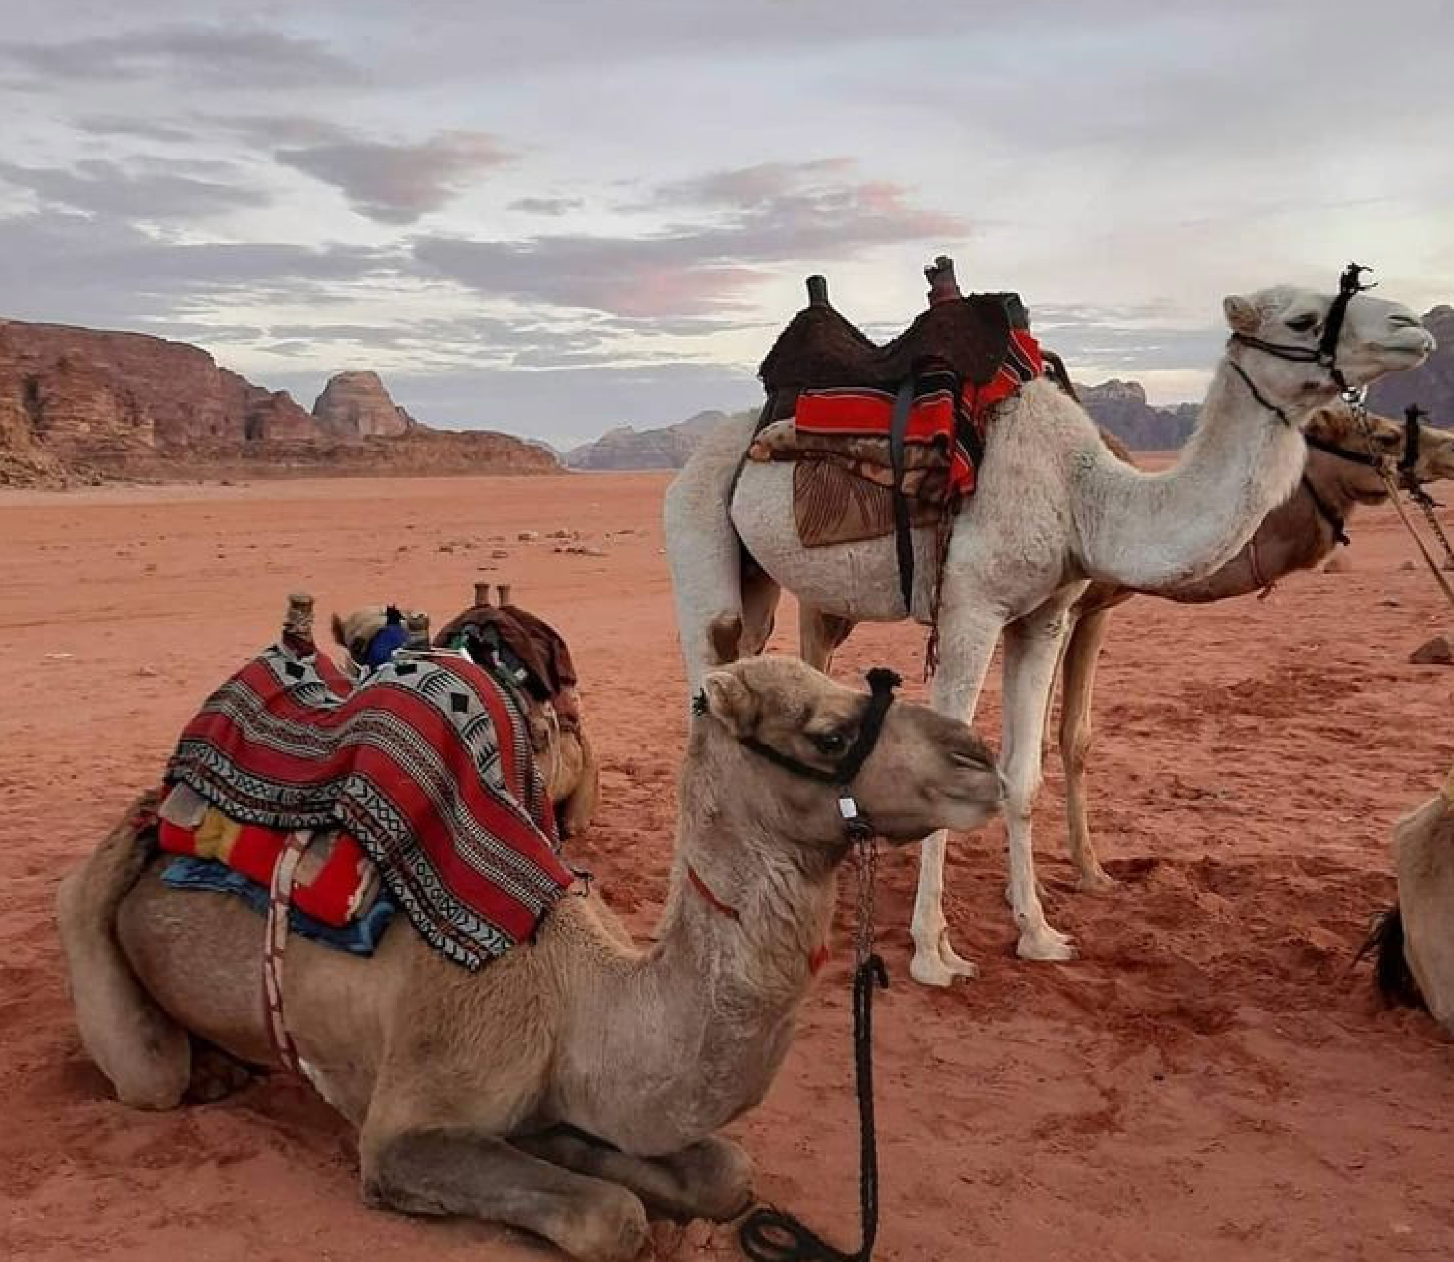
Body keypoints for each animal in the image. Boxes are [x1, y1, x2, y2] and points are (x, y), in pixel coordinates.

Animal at [56, 655, 1002, 1262]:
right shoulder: (405, 1126)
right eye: (829, 733)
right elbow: (611, 1219)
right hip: (119, 959)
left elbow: (722, 1172)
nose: (982, 760)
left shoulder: (563, 1091)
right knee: (144, 1056)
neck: (580, 996)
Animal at [665, 272, 1433, 984]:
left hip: (768, 588)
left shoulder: (1046, 616)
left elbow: (1021, 776)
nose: (1412, 325)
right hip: (699, 535)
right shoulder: (971, 606)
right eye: (1302, 318)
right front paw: (933, 954)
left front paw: (1038, 934)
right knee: (705, 700)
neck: (1082, 493)